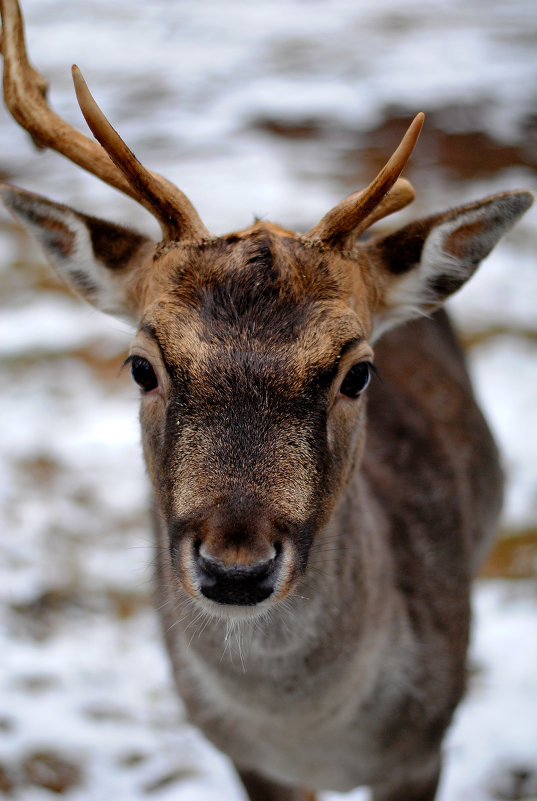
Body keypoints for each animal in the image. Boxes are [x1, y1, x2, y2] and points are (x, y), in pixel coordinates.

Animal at [0, 1, 532, 800]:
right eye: (140, 366)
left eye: (358, 373)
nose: (235, 569)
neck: (311, 738)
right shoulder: (247, 759)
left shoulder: (422, 748)